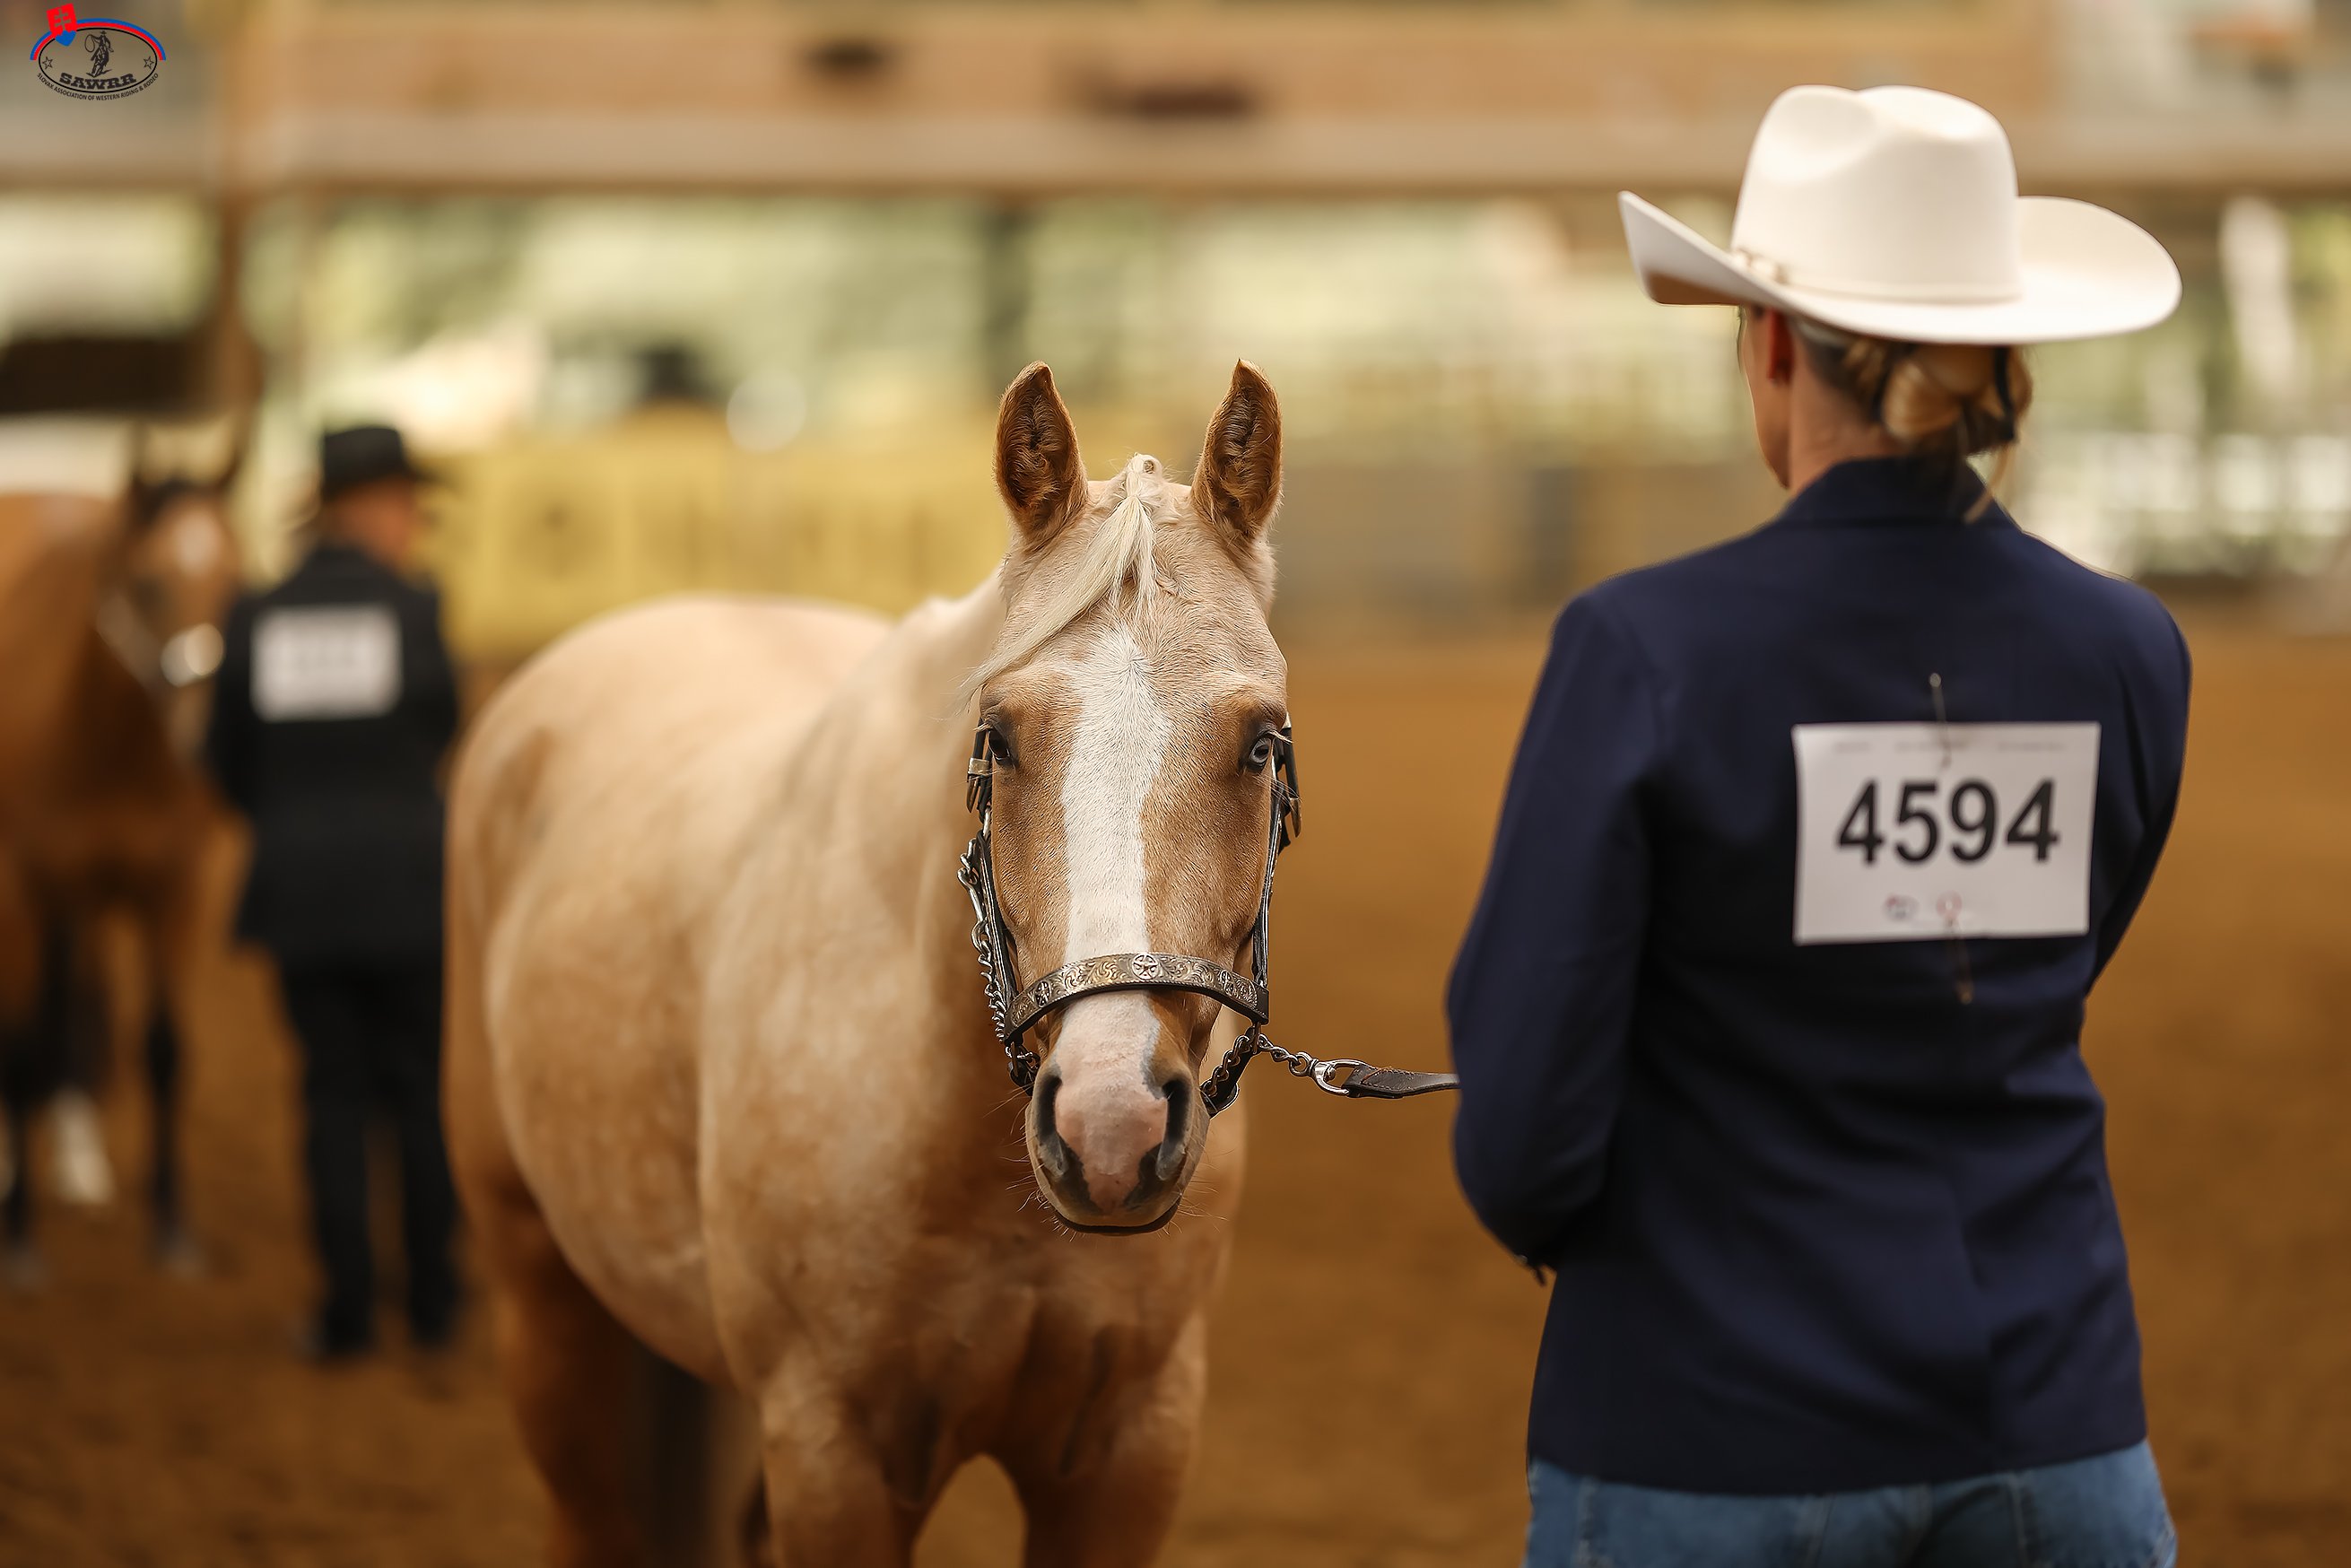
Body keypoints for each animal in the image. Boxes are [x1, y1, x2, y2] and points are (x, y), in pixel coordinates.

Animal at [0, 428, 242, 1280]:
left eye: (242, 579)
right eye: (148, 584)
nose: (210, 734)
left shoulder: (178, 889)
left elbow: (165, 1050)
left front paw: (172, 1229)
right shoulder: (21, 890)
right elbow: (24, 1046)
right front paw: (20, 1234)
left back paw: (79, 1160)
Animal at [447, 361, 1290, 1566]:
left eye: (1260, 743)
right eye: (998, 736)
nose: (1110, 1124)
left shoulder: (1128, 1449)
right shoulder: (833, 1451)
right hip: (548, 1313)